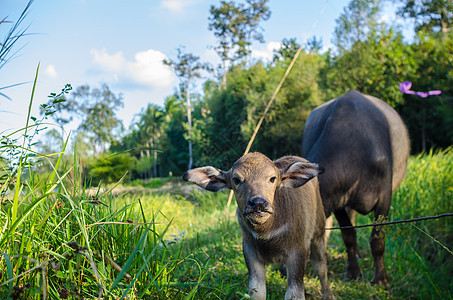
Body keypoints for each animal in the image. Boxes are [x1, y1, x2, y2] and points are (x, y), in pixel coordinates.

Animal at [182, 154, 334, 300]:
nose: (258, 203)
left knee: (320, 264)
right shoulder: (250, 252)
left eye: (272, 178)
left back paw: (328, 294)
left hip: (318, 231)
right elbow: (257, 292)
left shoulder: (297, 252)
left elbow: (294, 294)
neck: (268, 233)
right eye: (236, 179)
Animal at [300, 90, 410, 288]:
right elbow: (348, 235)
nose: (282, 268)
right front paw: (353, 272)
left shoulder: (385, 198)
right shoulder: (336, 201)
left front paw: (381, 279)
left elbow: (377, 239)